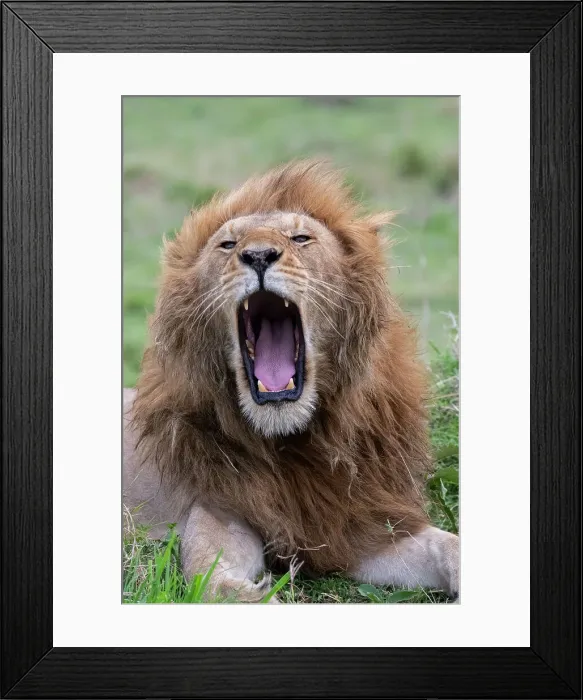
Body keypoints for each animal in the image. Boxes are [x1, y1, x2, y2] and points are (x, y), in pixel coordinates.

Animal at [123, 160, 459, 602]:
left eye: (301, 238)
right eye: (227, 244)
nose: (258, 255)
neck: (293, 442)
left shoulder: (356, 525)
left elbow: (448, 545)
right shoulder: (218, 513)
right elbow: (223, 587)